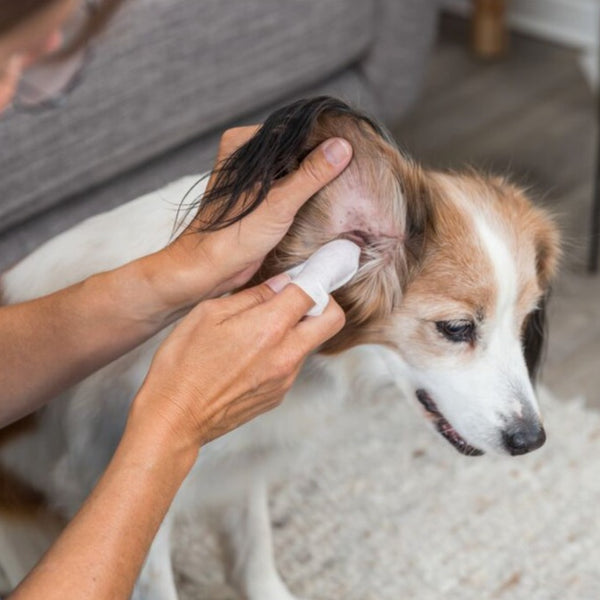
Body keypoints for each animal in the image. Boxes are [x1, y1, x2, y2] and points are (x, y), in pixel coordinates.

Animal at [0, 98, 556, 600]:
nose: (531, 441)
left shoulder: (243, 465)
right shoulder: (128, 499)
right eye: (456, 328)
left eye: (524, 320)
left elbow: (253, 550)